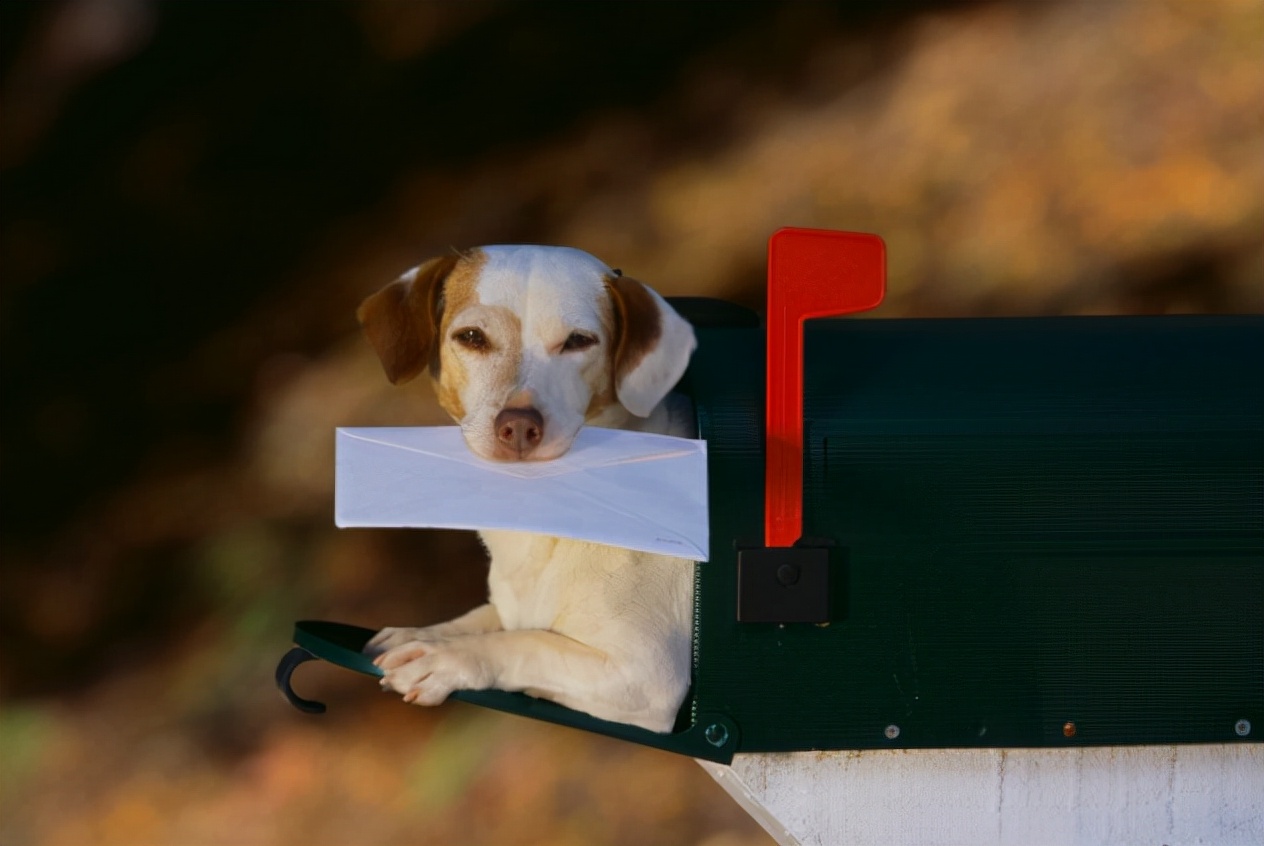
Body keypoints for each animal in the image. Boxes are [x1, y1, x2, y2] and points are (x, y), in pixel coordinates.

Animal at [358, 244, 702, 733]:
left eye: (578, 341)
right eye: (472, 337)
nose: (518, 426)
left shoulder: (646, 675)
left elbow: (529, 643)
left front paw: (445, 657)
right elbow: (489, 619)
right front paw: (426, 633)